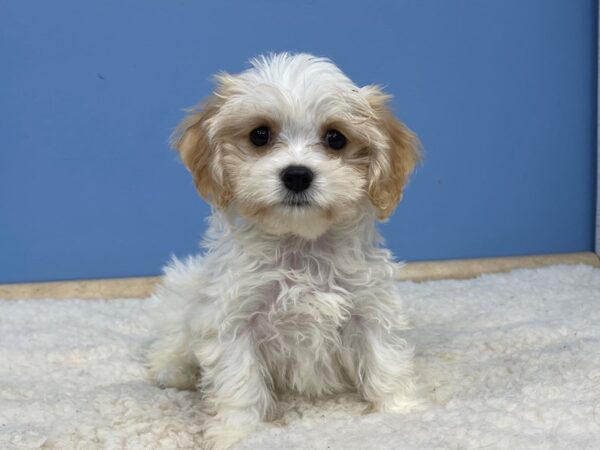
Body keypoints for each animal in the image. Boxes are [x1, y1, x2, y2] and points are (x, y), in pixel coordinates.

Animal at [148, 51, 422, 446]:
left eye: (335, 138)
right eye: (260, 135)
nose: (297, 174)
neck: (299, 245)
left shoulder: (370, 305)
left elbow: (386, 360)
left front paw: (400, 414)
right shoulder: (233, 318)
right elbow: (239, 383)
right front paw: (239, 434)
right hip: (183, 286)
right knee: (170, 338)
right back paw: (174, 370)